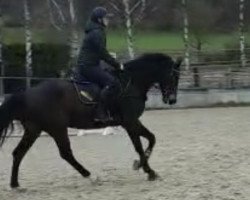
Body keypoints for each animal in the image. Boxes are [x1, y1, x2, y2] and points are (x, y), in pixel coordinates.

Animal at [0, 52, 182, 188]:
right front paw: (147, 170)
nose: (172, 100)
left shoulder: (131, 123)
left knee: (18, 153)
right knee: (66, 153)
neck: (131, 83)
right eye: (173, 76)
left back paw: (15, 184)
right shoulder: (130, 122)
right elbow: (140, 146)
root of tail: (27, 94)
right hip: (57, 128)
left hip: (34, 130)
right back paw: (90, 176)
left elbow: (151, 138)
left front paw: (144, 167)